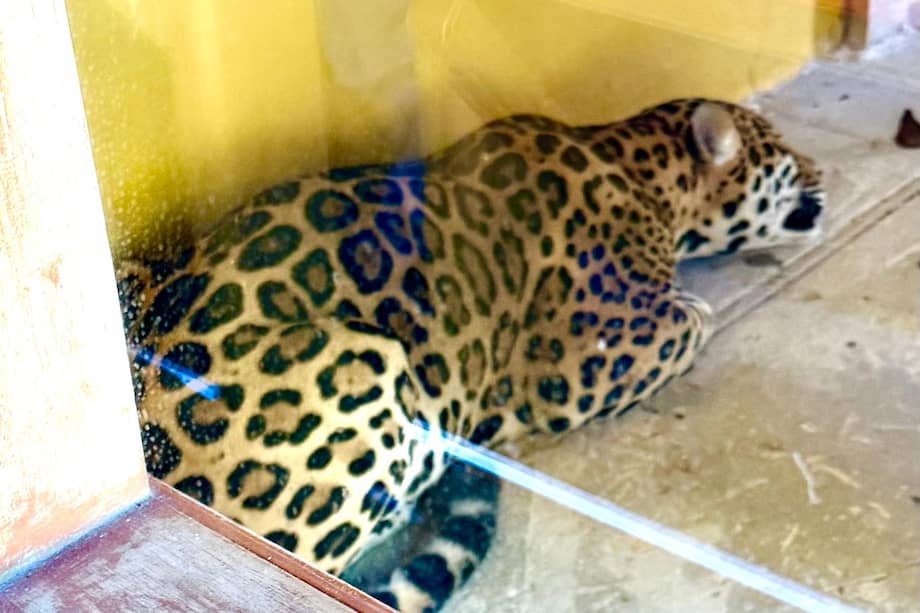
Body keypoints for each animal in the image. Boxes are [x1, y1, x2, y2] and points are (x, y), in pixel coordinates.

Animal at [117, 98, 824, 613]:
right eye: (782, 153)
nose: (821, 171)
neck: (639, 167)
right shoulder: (585, 362)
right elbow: (693, 320)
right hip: (364, 364)